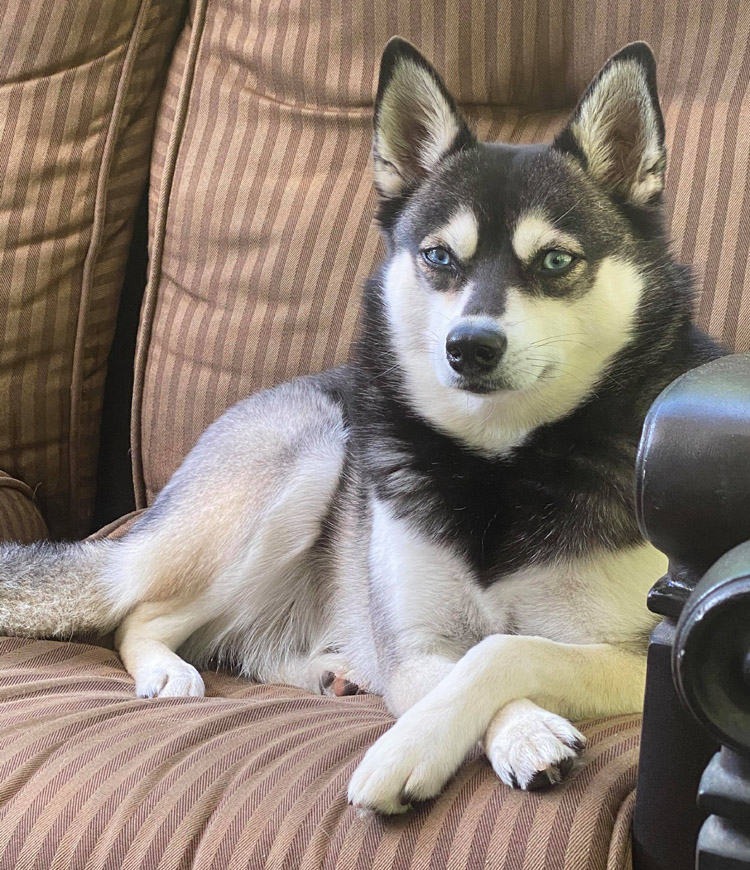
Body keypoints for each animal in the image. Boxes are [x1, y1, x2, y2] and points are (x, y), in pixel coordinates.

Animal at [0, 38, 723, 815]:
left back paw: (325, 671)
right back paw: (169, 669)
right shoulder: (414, 650)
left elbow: (507, 648)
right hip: (306, 459)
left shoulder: (640, 662)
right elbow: (468, 660)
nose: (469, 347)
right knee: (136, 616)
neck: (498, 462)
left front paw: (431, 743)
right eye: (438, 256)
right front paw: (494, 735)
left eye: (556, 260)